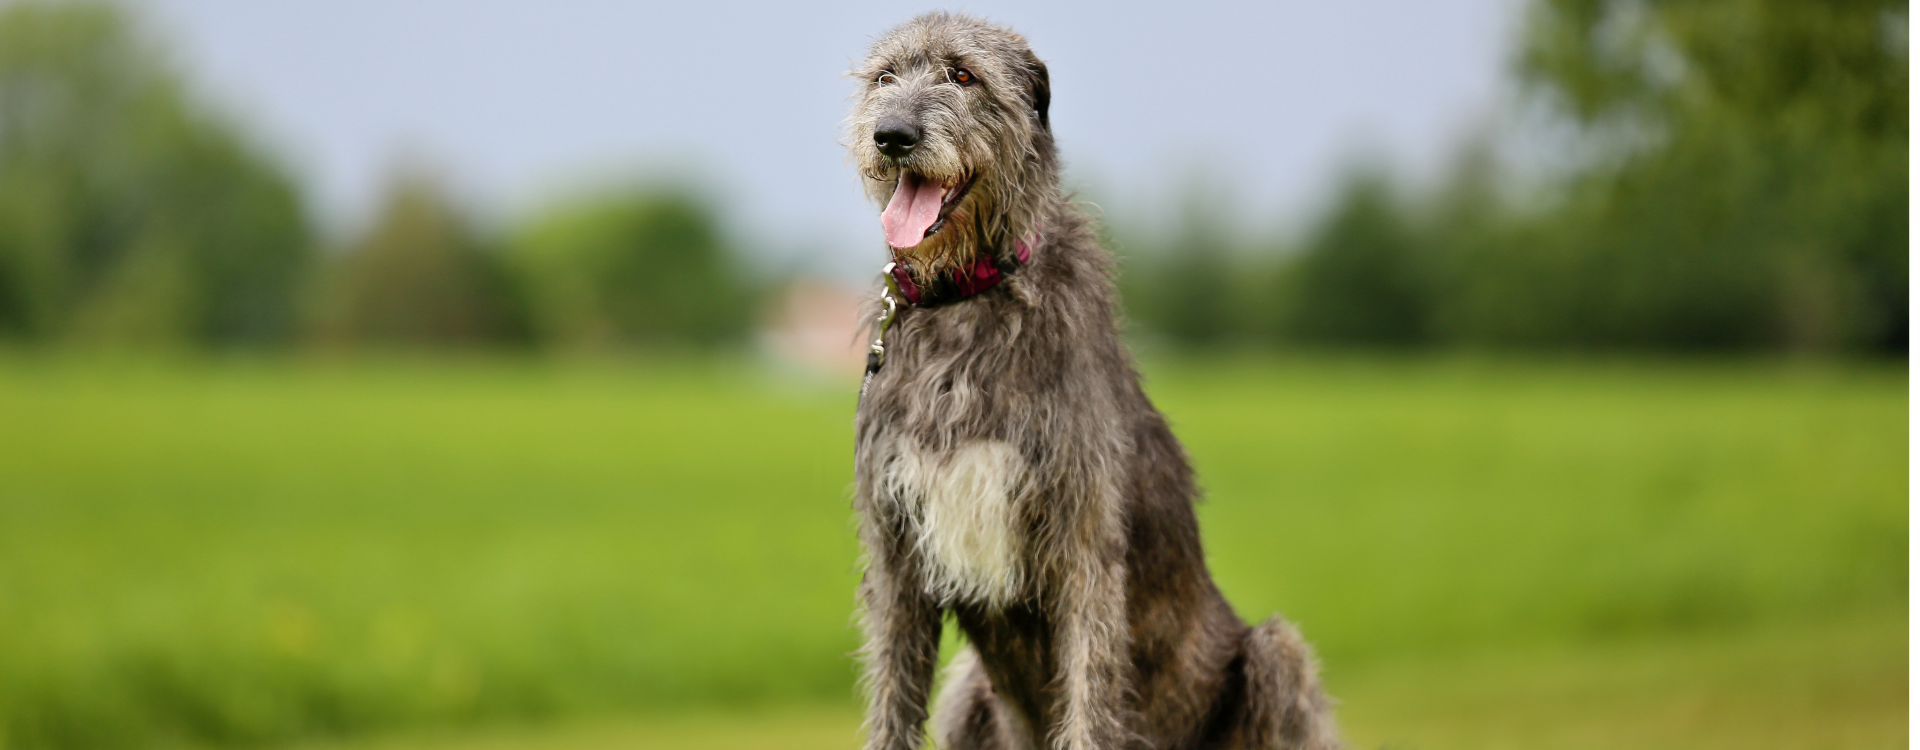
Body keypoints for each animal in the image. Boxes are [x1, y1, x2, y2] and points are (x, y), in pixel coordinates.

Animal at [848, 13, 1344, 750]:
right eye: (884, 77)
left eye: (962, 74)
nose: (892, 135)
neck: (967, 297)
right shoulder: (897, 555)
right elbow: (891, 700)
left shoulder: (1083, 545)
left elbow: (1092, 692)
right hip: (968, 689)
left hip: (1275, 652)